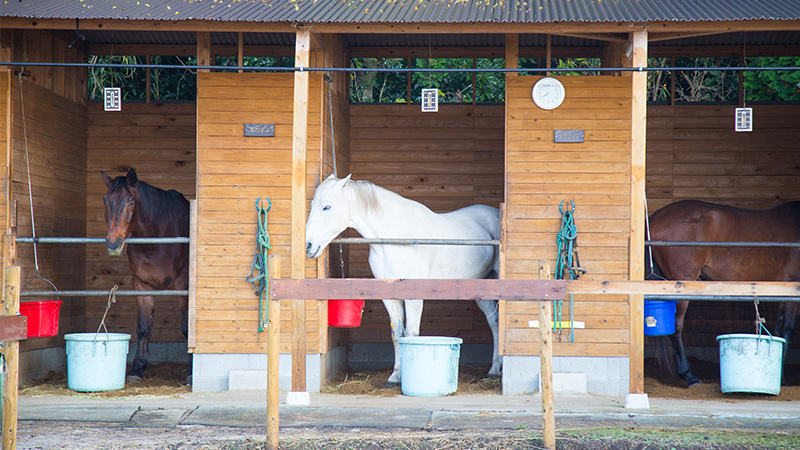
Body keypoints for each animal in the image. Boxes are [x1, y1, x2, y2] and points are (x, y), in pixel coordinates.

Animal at [101, 169, 191, 384]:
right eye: (106, 199)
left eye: (131, 200)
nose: (113, 243)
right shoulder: (142, 284)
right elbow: (143, 327)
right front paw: (137, 369)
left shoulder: (183, 285)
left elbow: (187, 327)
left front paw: (192, 373)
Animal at [306, 175, 500, 386]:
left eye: (327, 207)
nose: (308, 245)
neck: (395, 239)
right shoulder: (390, 297)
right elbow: (397, 334)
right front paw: (396, 376)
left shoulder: (413, 296)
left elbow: (412, 334)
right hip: (483, 292)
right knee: (495, 323)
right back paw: (494, 369)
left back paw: (495, 369)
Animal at [644, 200, 800, 386]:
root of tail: (656, 216)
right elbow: (787, 330)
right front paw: (782, 379)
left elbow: (778, 330)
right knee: (676, 327)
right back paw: (689, 375)